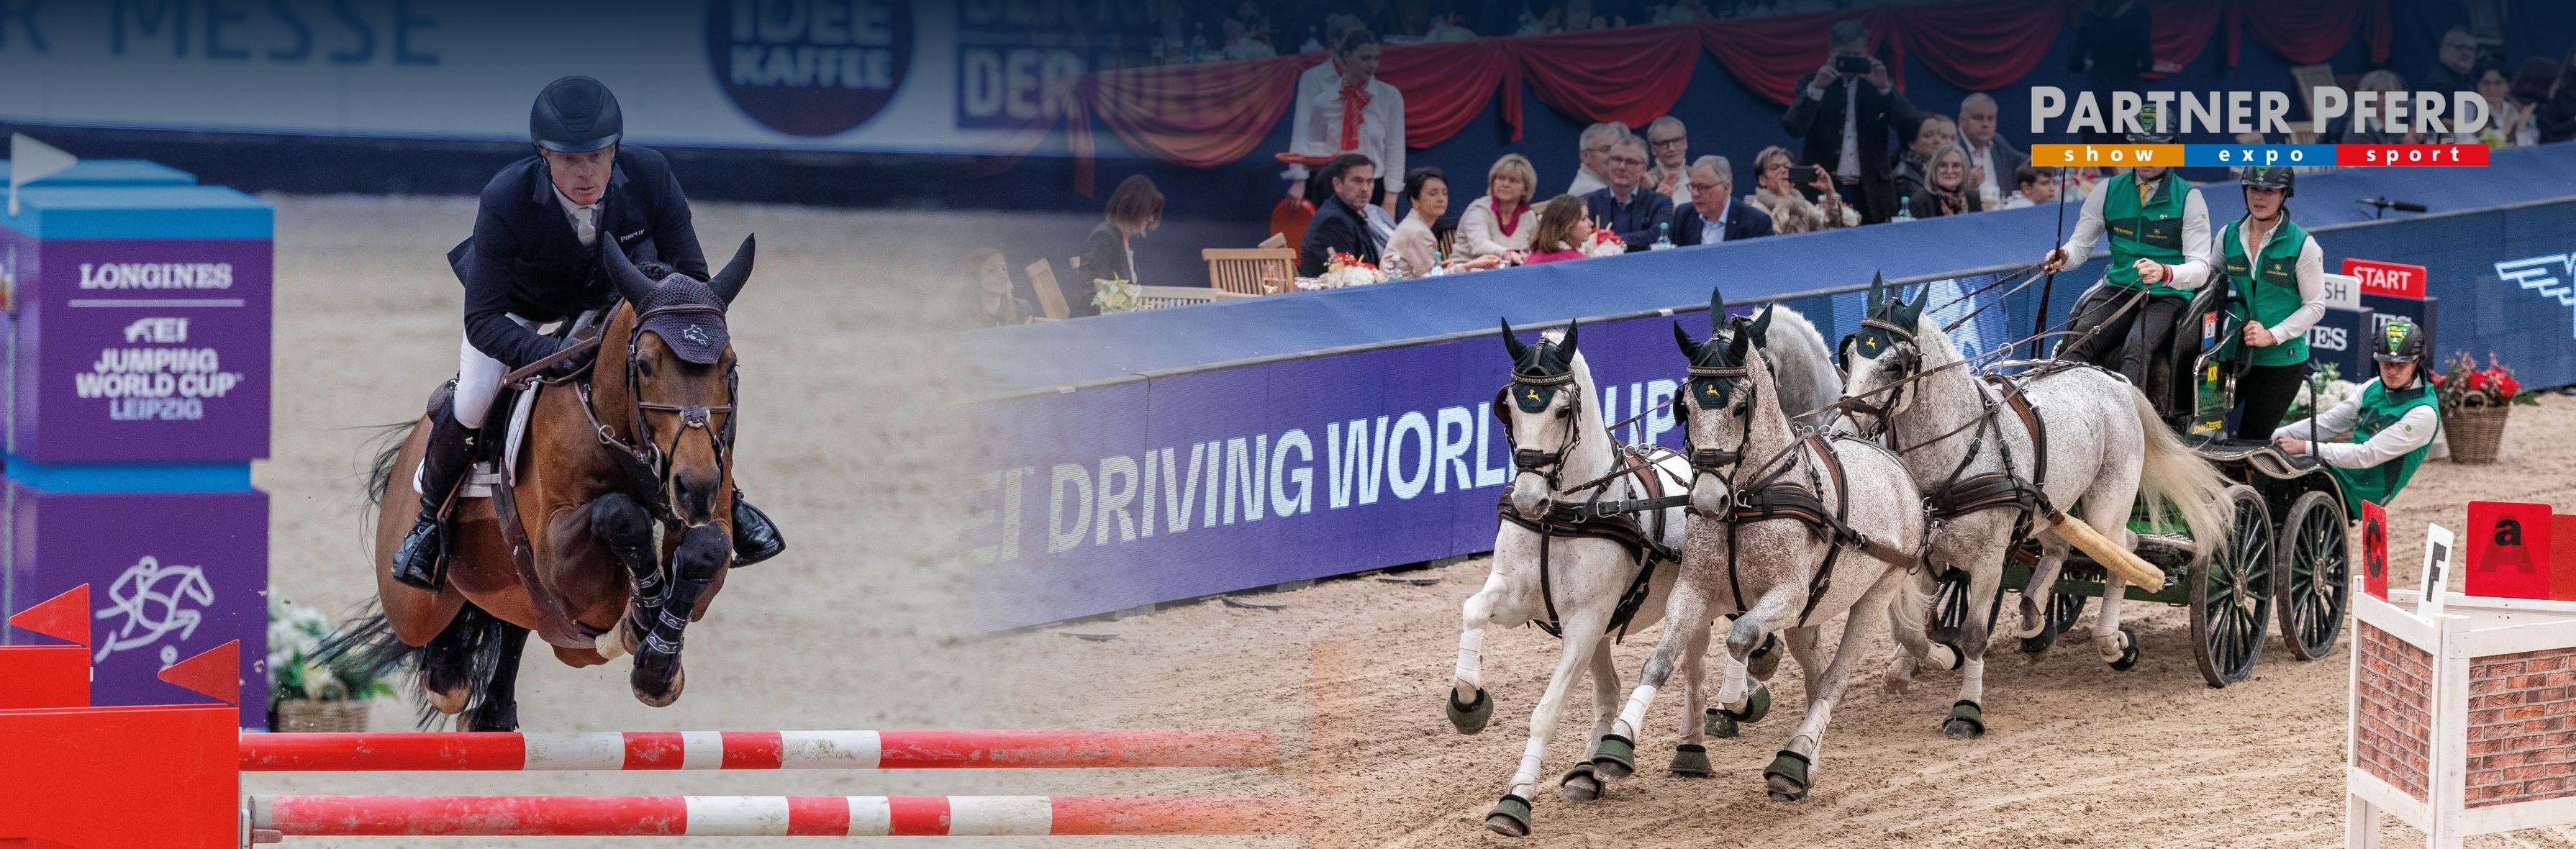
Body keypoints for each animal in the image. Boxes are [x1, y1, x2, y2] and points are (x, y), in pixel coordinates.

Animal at [330, 238, 758, 731]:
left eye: (730, 365)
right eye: (646, 365)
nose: (696, 487)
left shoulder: (711, 518)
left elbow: (707, 547)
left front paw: (657, 668)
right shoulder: (559, 555)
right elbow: (618, 513)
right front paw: (644, 610)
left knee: (506, 628)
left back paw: (491, 709)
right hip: (411, 604)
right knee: (440, 641)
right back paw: (433, 602)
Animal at [1448, 319, 1692, 838]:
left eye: (1563, 410)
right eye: (1509, 407)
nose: (1527, 500)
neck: (1564, 512)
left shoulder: (1584, 621)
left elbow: (1546, 712)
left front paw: (1514, 803)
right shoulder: (1521, 599)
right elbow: (1473, 609)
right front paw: (1467, 701)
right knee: (1614, 688)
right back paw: (1588, 772)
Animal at [1590, 292, 1928, 803]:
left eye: (1739, 407)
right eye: (1684, 406)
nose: (1707, 499)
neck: (1748, 499)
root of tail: (1897, 469)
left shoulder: (1786, 595)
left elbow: (1741, 636)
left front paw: (1735, 699)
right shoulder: (1695, 591)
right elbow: (1659, 662)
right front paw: (1618, 743)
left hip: (1874, 593)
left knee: (1834, 680)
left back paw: (1793, 761)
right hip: (1811, 612)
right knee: (1815, 674)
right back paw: (1805, 754)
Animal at [1839, 275, 2231, 739]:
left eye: (1894, 366)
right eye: (1848, 356)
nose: (1842, 428)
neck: (1960, 448)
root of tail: (2114, 380)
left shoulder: (1988, 559)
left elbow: (1973, 634)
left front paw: (1966, 708)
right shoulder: (1925, 555)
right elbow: (1909, 627)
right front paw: (1922, 662)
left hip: (2107, 503)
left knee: (2122, 551)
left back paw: (2112, 643)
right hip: (2049, 505)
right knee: (2063, 549)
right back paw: (2036, 624)